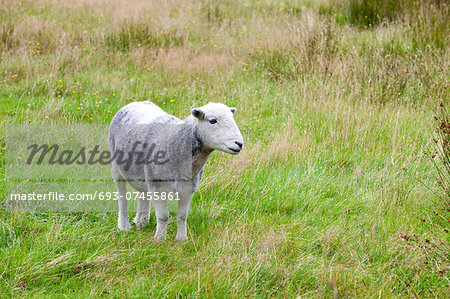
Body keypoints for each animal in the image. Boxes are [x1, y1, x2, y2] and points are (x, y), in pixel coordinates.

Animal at [107, 101, 244, 241]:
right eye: (212, 121)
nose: (239, 143)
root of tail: (135, 102)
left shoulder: (188, 188)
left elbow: (182, 216)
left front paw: (181, 240)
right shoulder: (157, 187)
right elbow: (163, 216)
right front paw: (160, 240)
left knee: (142, 193)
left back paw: (141, 221)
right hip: (116, 168)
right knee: (122, 199)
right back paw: (124, 226)